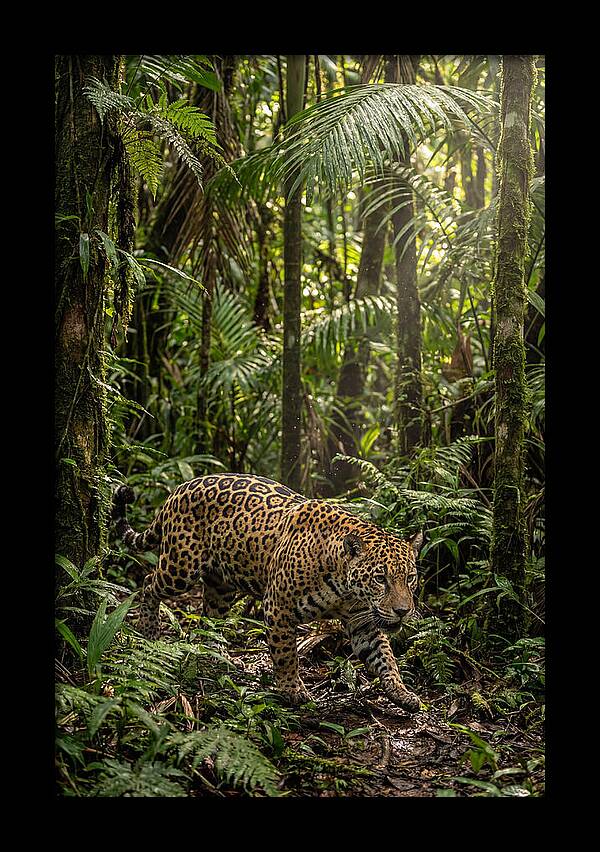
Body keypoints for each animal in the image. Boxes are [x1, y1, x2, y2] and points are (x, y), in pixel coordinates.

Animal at [113, 473, 424, 712]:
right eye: (381, 578)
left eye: (410, 578)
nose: (403, 611)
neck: (344, 587)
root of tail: (179, 488)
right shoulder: (278, 608)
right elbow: (286, 654)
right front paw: (293, 691)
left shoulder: (363, 623)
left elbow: (384, 657)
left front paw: (402, 693)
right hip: (180, 567)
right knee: (148, 583)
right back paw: (149, 629)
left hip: (221, 586)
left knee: (210, 616)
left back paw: (216, 653)